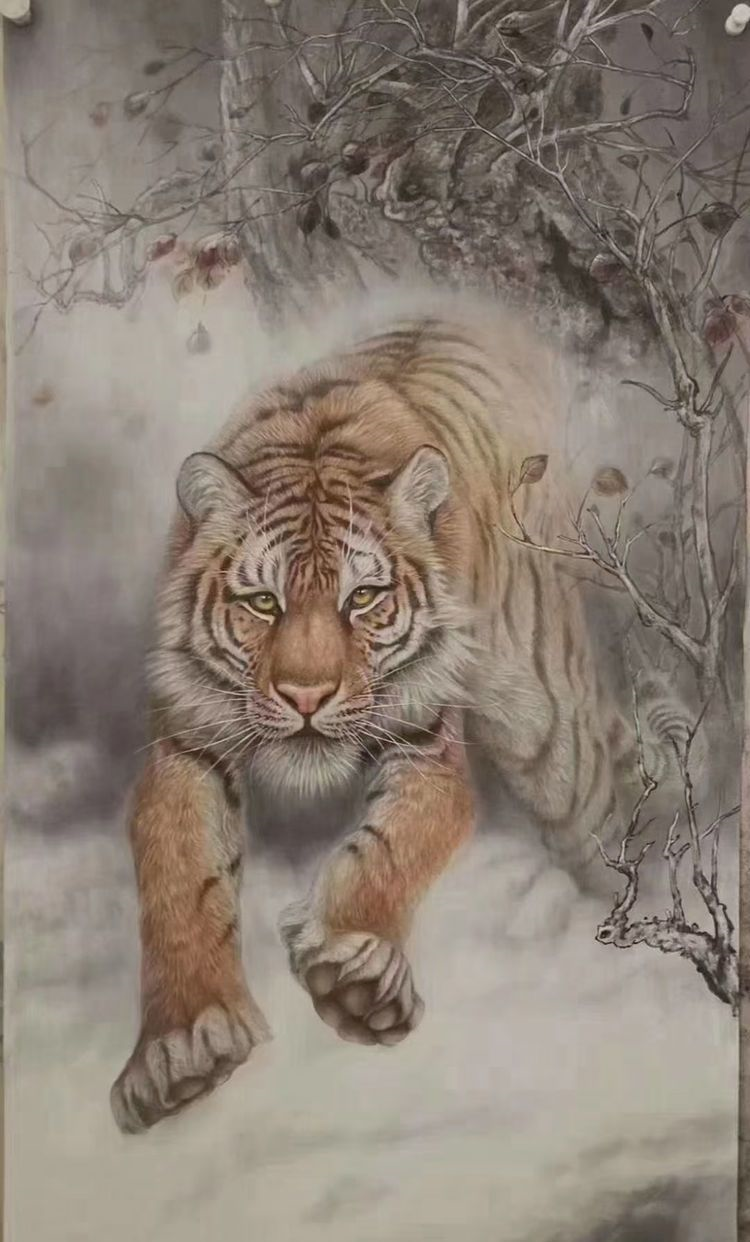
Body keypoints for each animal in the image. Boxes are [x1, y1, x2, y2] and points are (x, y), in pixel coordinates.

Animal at [110, 309, 673, 1135]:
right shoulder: (189, 743)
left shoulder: (423, 744)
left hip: (550, 733)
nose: (306, 695)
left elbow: (388, 849)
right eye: (263, 603)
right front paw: (181, 1046)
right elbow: (181, 876)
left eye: (364, 599)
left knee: (606, 810)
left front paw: (356, 976)